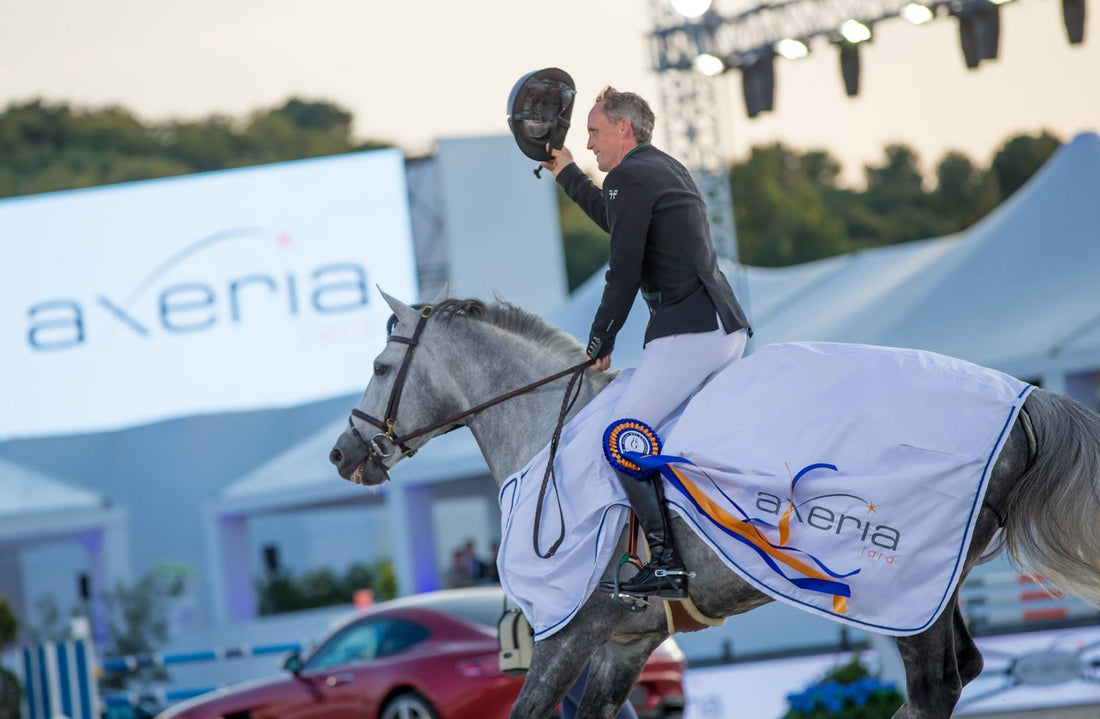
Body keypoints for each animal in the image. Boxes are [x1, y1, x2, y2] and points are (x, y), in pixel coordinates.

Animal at [327, 292, 1100, 719]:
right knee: (953, 677)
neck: (546, 428)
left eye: (380, 367)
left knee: (936, 685)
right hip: (930, 583)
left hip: (902, 586)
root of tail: (1022, 399)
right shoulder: (625, 643)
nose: (342, 453)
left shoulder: (567, 634)